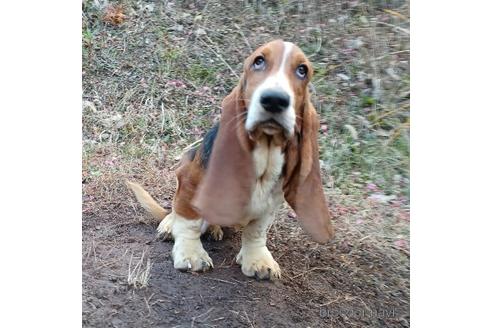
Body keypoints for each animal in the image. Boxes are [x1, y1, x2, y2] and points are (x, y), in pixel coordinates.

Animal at [127, 38, 334, 280]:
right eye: (258, 61)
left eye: (302, 70)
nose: (274, 100)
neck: (265, 149)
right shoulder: (191, 182)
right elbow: (188, 222)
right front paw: (191, 254)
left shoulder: (270, 204)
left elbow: (256, 231)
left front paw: (258, 260)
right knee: (176, 210)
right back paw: (170, 225)